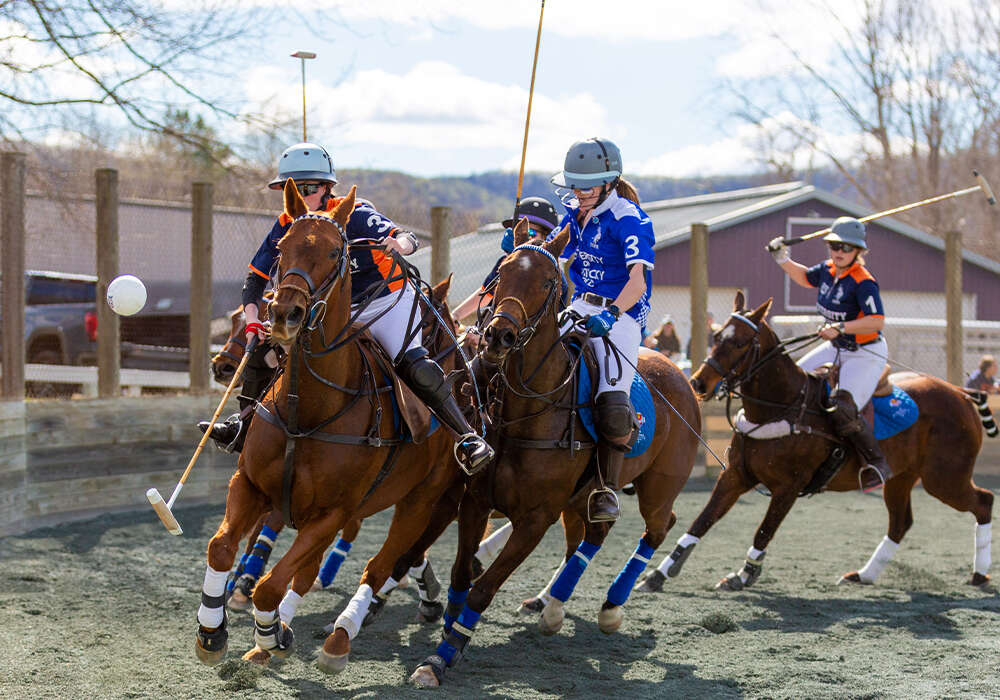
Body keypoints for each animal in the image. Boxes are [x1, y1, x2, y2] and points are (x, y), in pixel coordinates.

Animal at [196, 183, 472, 676]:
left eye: (332, 251)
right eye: (282, 249)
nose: (285, 313)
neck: (307, 410)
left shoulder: (333, 512)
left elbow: (272, 584)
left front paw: (271, 632)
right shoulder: (251, 484)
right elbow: (221, 548)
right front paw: (214, 632)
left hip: (421, 498)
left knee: (380, 566)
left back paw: (339, 638)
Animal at [408, 221, 704, 688]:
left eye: (548, 281)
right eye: (501, 274)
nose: (498, 335)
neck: (527, 411)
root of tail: (682, 374)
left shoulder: (534, 518)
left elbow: (482, 588)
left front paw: (442, 656)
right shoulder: (474, 501)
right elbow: (460, 573)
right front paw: (446, 636)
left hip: (660, 485)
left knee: (657, 527)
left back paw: (610, 607)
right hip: (582, 496)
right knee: (589, 535)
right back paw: (551, 605)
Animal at [636, 292, 996, 596]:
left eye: (739, 342)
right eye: (715, 337)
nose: (698, 383)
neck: (779, 406)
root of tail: (962, 394)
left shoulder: (789, 486)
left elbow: (764, 530)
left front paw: (744, 574)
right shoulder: (735, 476)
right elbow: (702, 520)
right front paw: (658, 574)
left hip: (944, 478)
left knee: (984, 501)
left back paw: (979, 574)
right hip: (902, 477)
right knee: (900, 522)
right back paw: (863, 575)